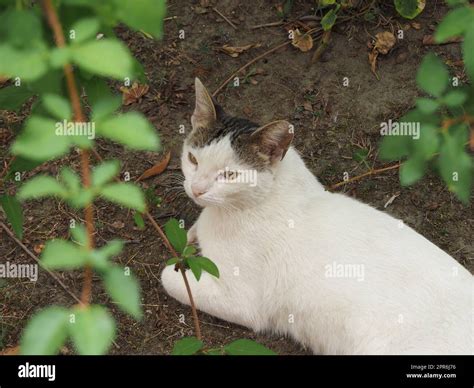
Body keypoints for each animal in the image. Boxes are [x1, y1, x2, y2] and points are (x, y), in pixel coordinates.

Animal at [161, 78, 472, 354]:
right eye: (193, 159)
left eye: (229, 175)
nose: (197, 189)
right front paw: (192, 235)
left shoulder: (241, 302)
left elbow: (168, 277)